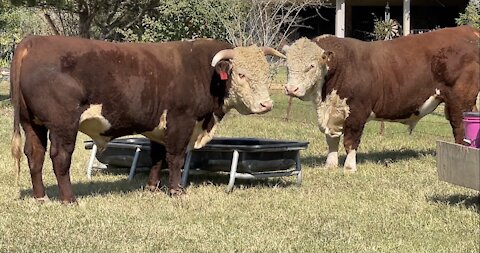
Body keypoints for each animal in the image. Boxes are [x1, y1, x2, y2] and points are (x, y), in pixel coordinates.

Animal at [10, 35, 284, 202]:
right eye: (241, 74)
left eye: (266, 72)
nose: (266, 104)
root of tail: (33, 41)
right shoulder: (181, 121)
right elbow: (175, 158)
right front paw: (176, 191)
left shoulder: (159, 129)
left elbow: (157, 158)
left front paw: (153, 188)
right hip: (63, 124)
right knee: (60, 157)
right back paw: (69, 199)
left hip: (31, 123)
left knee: (34, 155)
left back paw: (41, 197)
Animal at [284, 25, 480, 172]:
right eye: (287, 65)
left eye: (311, 65)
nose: (291, 89)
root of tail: (469, 31)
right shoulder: (333, 112)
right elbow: (331, 140)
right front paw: (330, 165)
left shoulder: (357, 112)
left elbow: (350, 141)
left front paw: (349, 167)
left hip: (460, 102)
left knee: (460, 128)